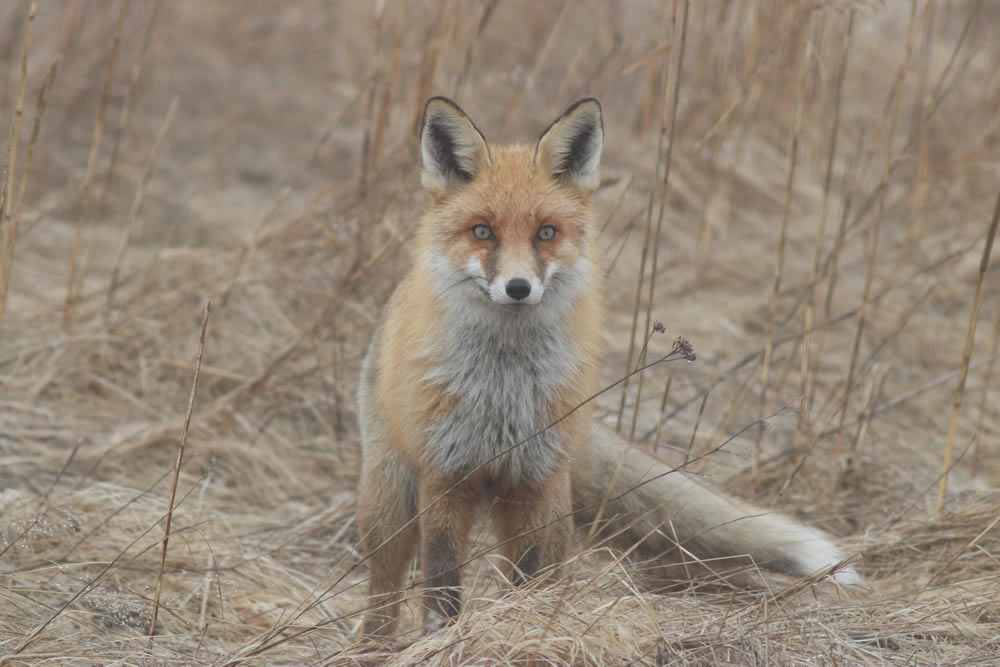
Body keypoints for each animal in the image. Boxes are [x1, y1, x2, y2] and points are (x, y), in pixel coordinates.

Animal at [354, 96, 860, 640]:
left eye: (546, 233)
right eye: (483, 232)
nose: (518, 288)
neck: (503, 389)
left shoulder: (536, 480)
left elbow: (531, 580)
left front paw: (523, 631)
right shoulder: (446, 476)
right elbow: (440, 587)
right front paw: (440, 642)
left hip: (549, 506)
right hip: (388, 505)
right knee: (383, 592)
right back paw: (373, 647)